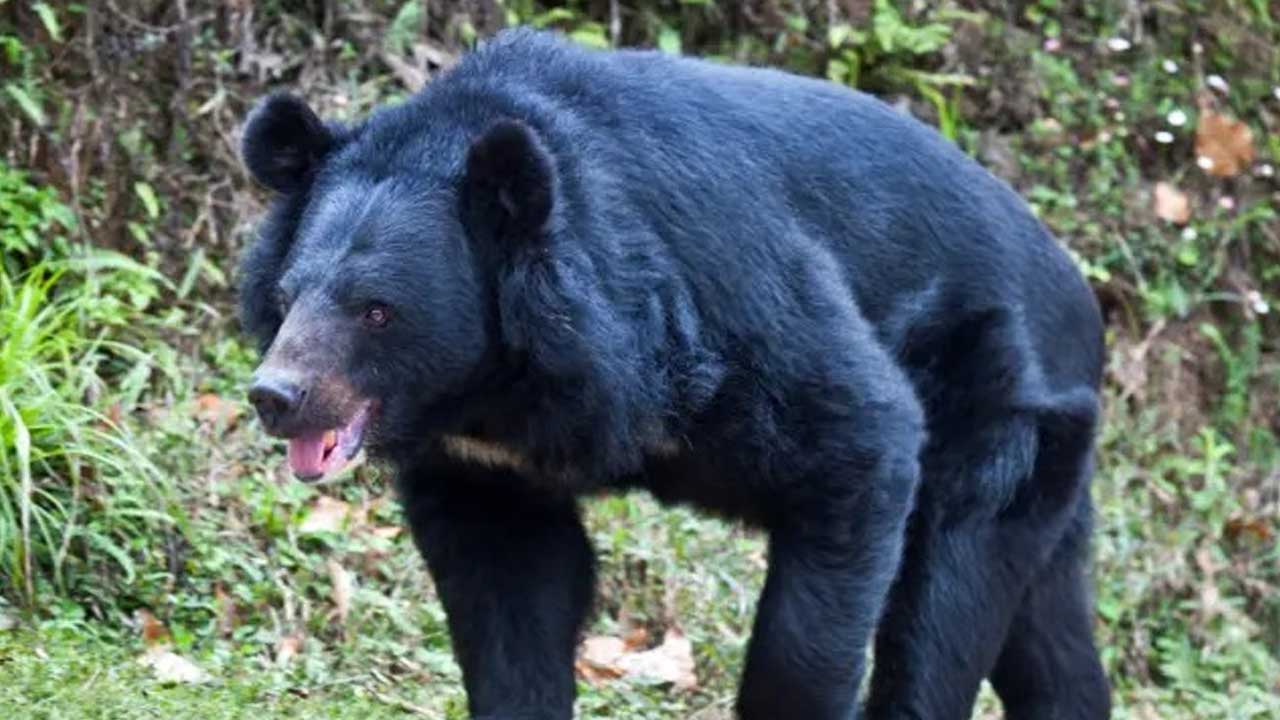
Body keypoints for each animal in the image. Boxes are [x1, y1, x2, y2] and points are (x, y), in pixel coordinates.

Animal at [237, 27, 1110, 720]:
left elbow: (859, 438)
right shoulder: (484, 467)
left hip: (1000, 410)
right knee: (1046, 631)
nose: (276, 397)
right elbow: (509, 600)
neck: (495, 388)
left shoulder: (728, 302)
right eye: (286, 297)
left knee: (943, 607)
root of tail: (1081, 297)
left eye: (377, 311)